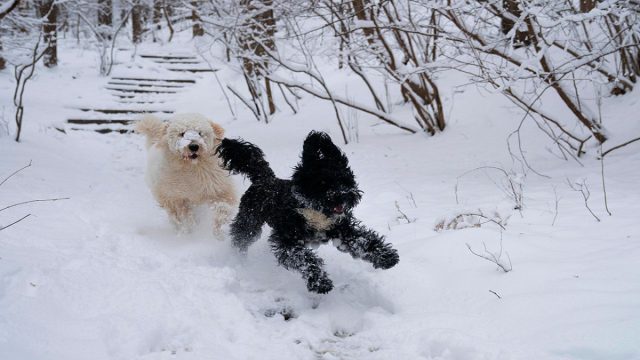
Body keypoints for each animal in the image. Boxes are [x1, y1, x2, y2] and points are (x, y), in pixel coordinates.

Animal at [218, 131, 398, 294]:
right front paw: (320, 283)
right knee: (240, 239)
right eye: (323, 182)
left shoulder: (342, 230)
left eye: (345, 179)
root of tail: (265, 178)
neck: (316, 211)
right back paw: (238, 259)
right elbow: (306, 259)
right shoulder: (287, 241)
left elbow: (363, 240)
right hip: (249, 221)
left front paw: (386, 256)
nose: (343, 195)